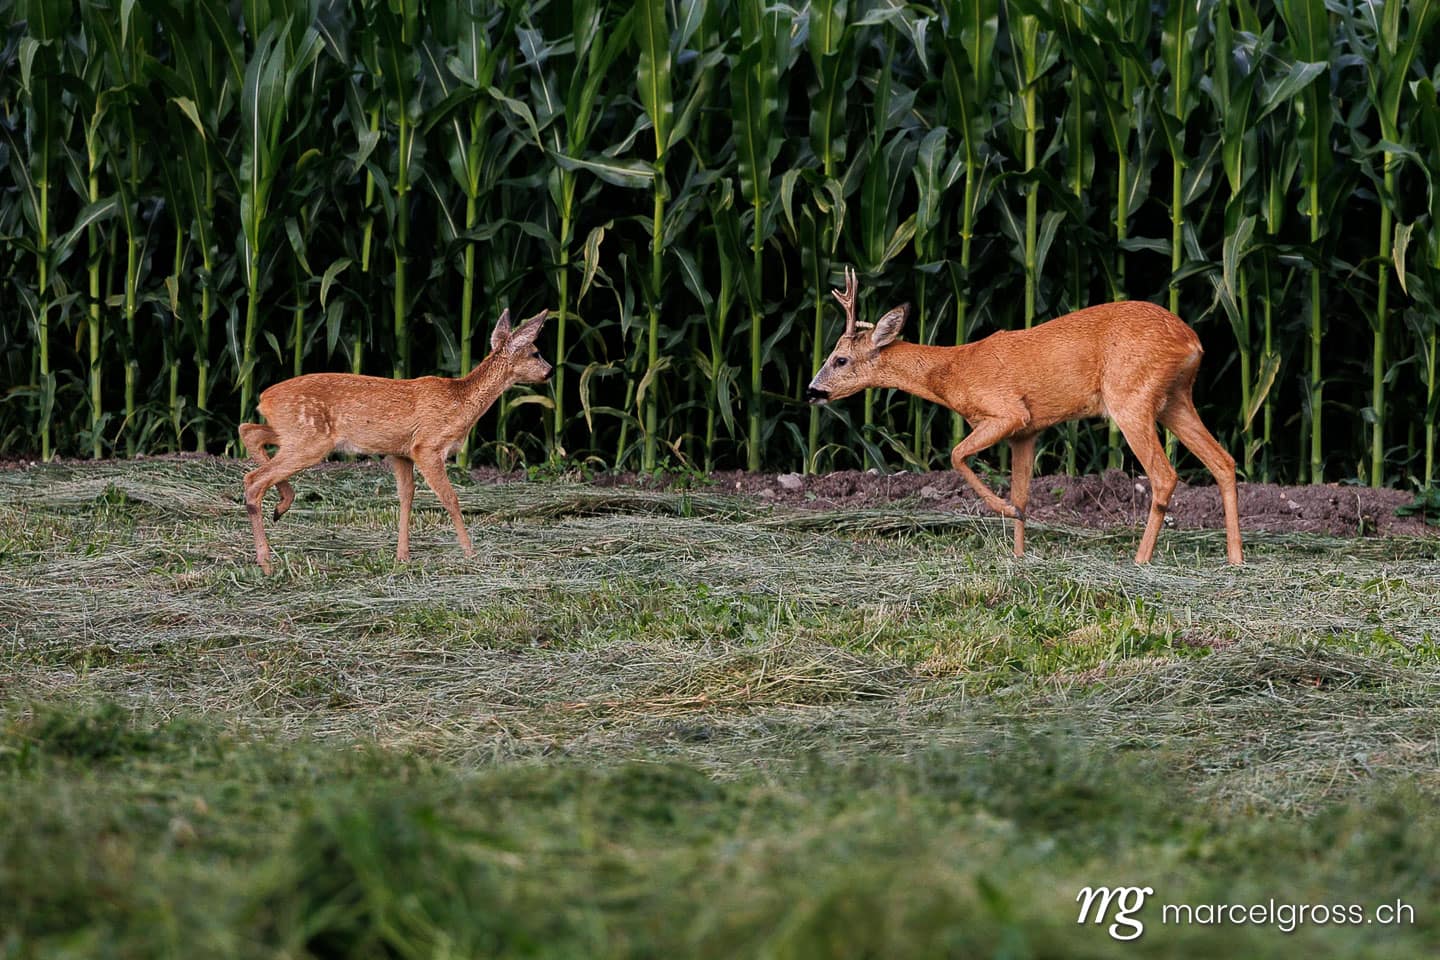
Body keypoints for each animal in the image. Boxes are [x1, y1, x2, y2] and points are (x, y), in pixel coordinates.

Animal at [239, 308, 550, 574]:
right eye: (536, 353)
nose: (549, 372)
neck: (461, 403)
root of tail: (265, 398)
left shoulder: (400, 452)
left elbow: (406, 497)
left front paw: (402, 556)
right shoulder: (427, 446)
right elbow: (449, 498)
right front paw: (470, 552)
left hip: (295, 433)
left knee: (249, 431)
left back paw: (281, 506)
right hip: (310, 439)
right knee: (253, 478)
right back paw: (266, 561)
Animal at [806, 268, 1242, 565]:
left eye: (839, 359)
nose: (812, 391)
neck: (951, 372)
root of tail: (1192, 341)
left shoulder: (1008, 411)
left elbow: (956, 455)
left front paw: (1003, 512)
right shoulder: (1027, 430)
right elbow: (1023, 493)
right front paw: (1018, 552)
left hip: (1130, 397)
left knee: (1164, 475)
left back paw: (1140, 559)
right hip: (1174, 399)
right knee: (1224, 460)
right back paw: (1235, 558)